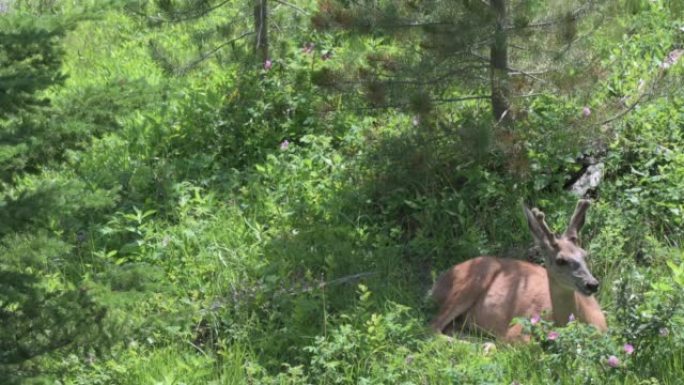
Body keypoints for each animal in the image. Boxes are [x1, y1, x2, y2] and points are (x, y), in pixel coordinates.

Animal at [430, 200, 608, 340]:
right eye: (560, 260)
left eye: (585, 255)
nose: (592, 284)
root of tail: (436, 285)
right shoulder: (518, 328)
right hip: (473, 279)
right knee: (433, 328)